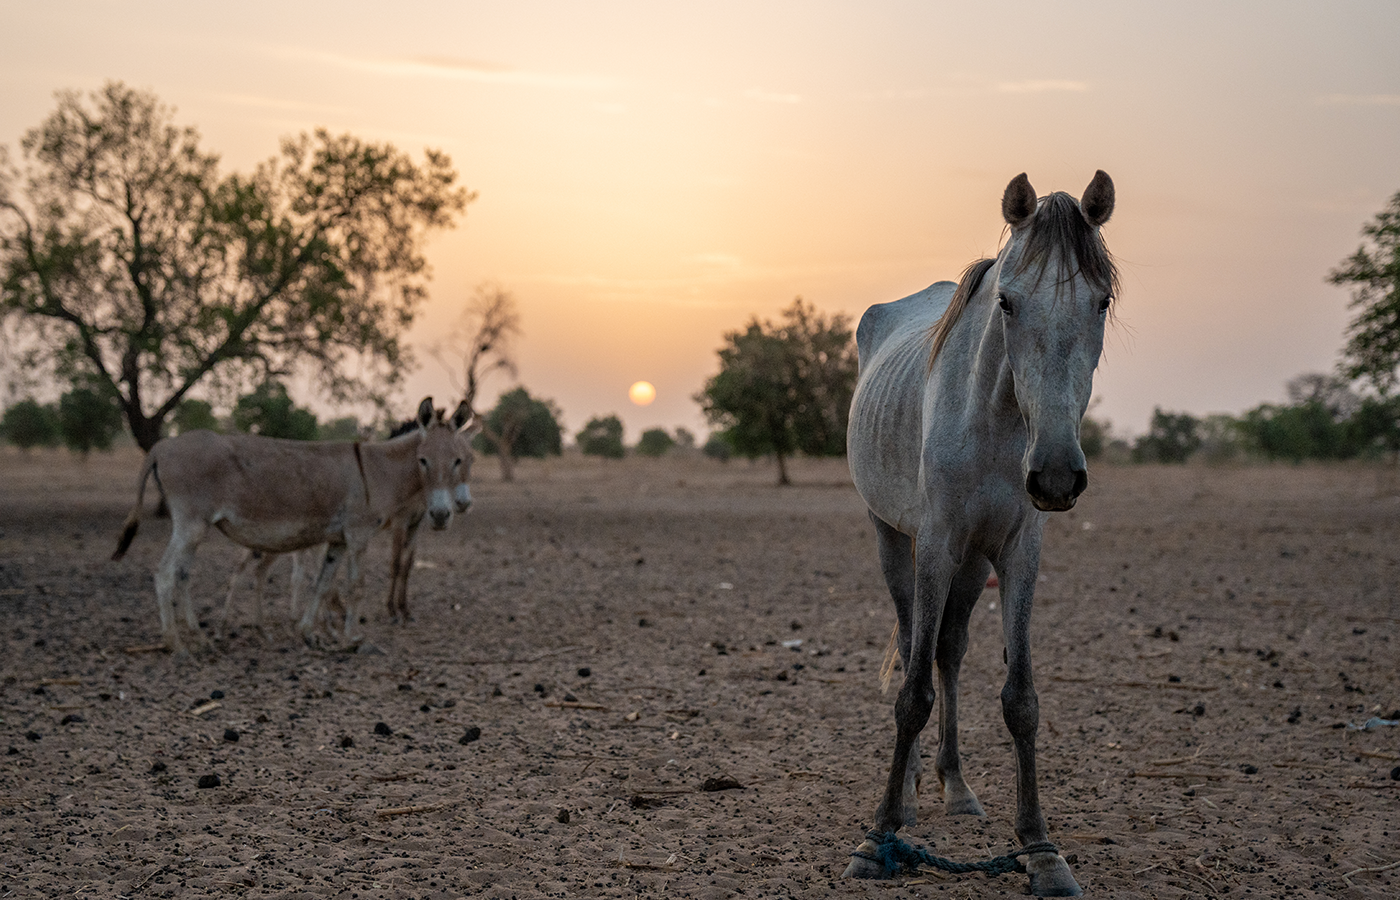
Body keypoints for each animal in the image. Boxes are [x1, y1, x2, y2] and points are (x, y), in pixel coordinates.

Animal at [840, 172, 1114, 895]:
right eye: (1008, 303)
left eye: (1101, 302)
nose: (1056, 474)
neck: (995, 418)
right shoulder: (934, 543)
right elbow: (912, 694)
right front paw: (877, 836)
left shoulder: (1018, 551)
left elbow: (1020, 699)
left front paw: (1041, 849)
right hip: (895, 539)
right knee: (915, 640)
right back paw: (908, 792)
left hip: (971, 564)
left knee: (949, 649)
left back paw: (954, 786)